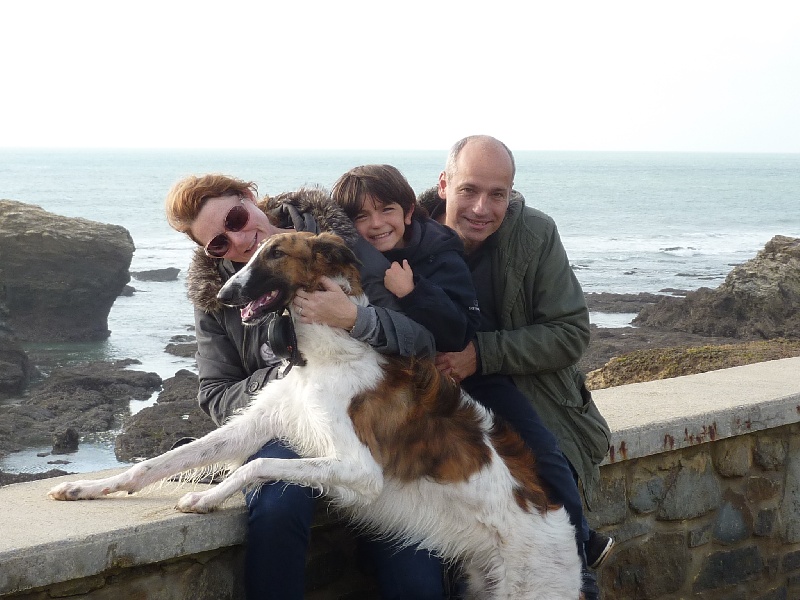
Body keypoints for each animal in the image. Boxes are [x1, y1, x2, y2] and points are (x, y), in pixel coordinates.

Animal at [48, 231, 582, 599]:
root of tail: (563, 524)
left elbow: (260, 464)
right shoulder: (257, 423)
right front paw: (86, 488)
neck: (323, 357)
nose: (223, 296)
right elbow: (157, 463)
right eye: (251, 254)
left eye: (275, 254)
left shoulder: (360, 468)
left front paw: (208, 497)